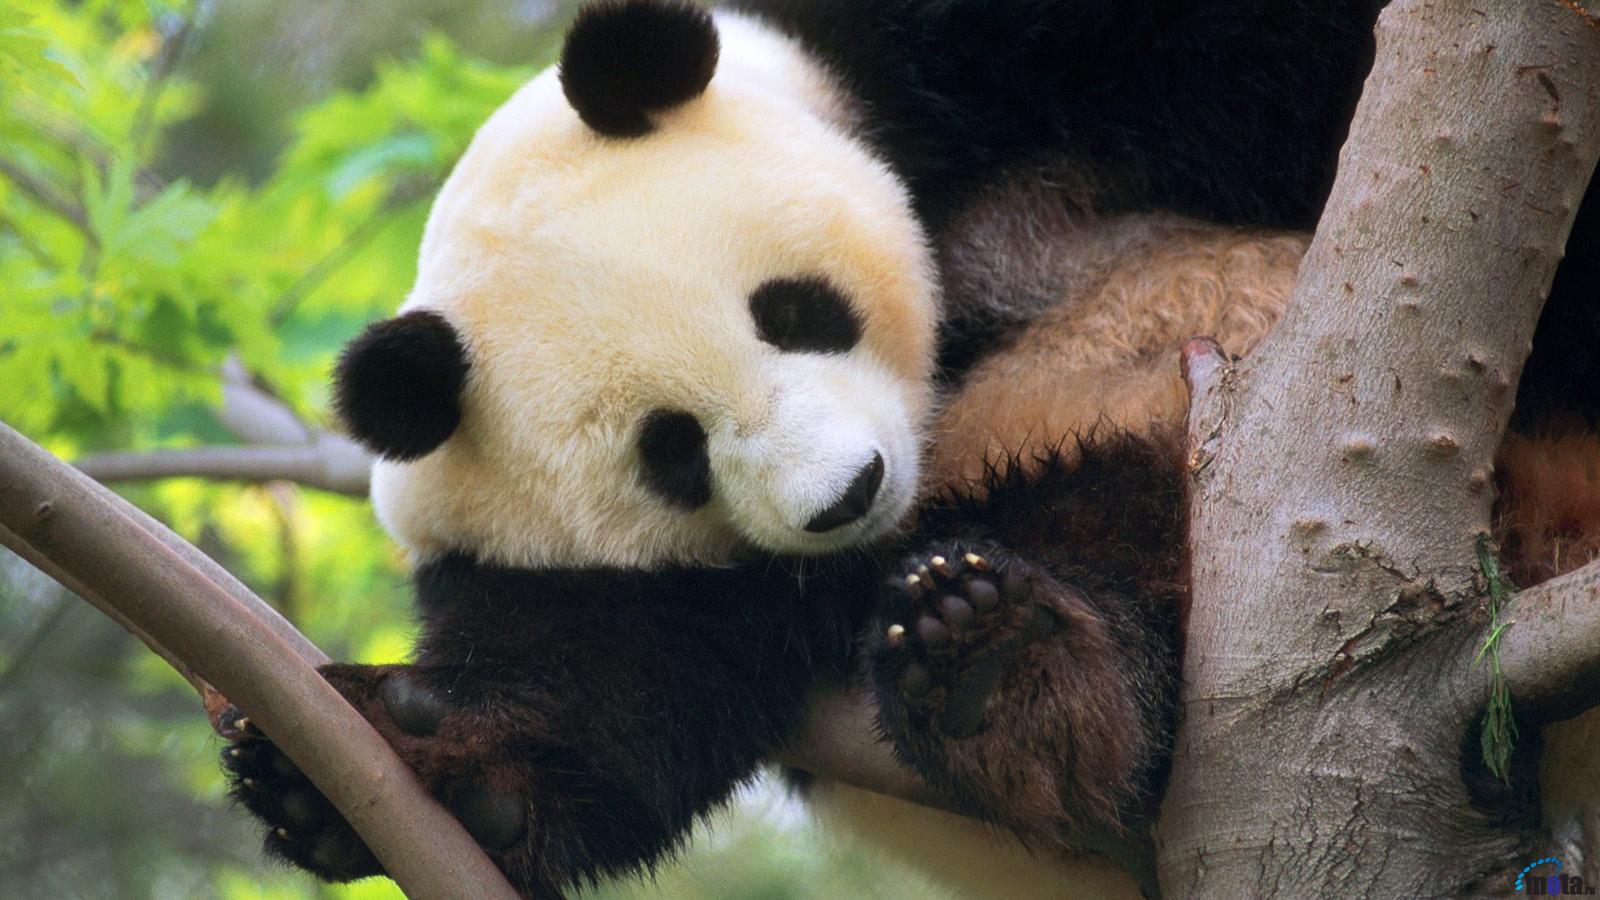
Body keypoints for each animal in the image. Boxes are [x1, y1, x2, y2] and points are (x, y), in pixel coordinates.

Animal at [218, 1, 1600, 897]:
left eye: (793, 311)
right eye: (674, 454)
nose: (851, 495)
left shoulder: (997, 65)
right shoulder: (607, 571)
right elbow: (613, 680)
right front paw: (393, 765)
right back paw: (1007, 670)